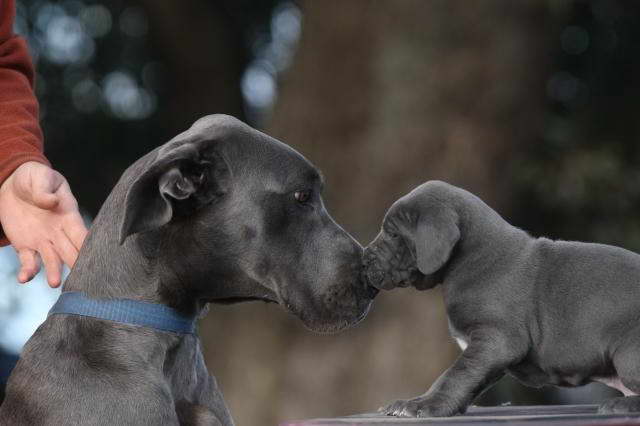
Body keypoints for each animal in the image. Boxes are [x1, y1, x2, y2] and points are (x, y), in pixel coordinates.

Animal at [364, 181, 640, 418]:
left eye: (393, 235)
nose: (365, 258)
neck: (471, 256)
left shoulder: (496, 340)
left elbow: (454, 375)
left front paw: (425, 405)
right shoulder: (487, 352)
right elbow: (468, 380)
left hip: (628, 351)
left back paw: (621, 405)